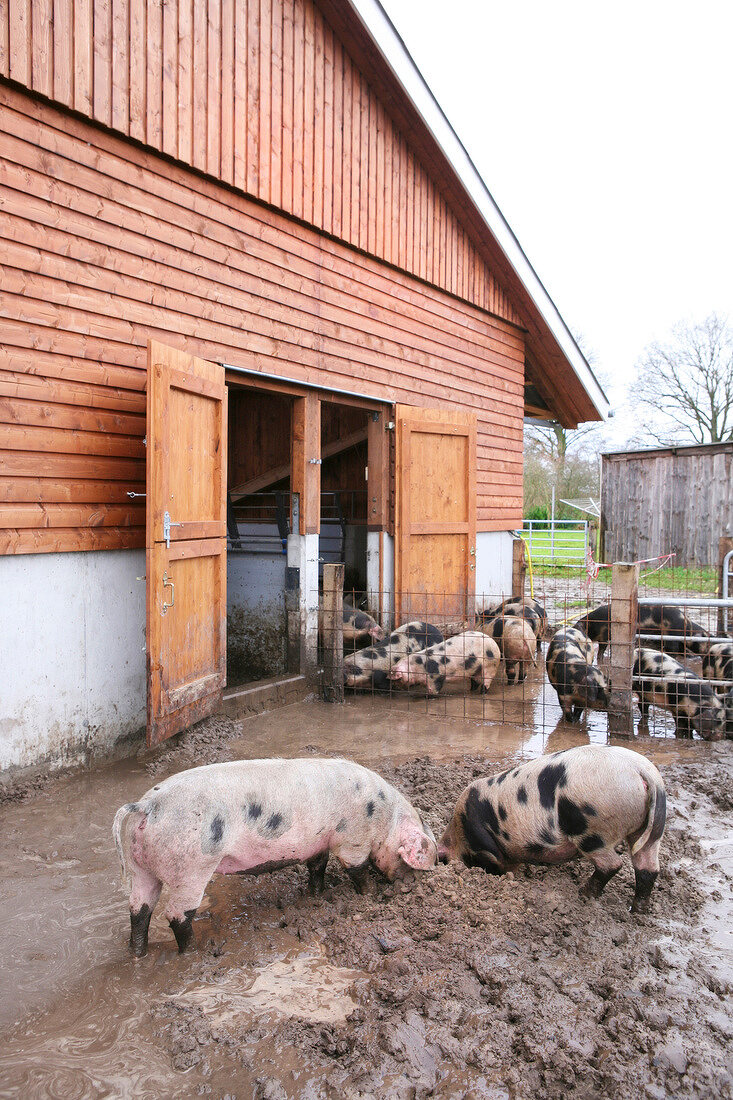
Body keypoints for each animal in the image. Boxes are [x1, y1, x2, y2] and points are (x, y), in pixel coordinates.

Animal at [111, 761, 435, 959]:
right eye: (409, 863)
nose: (409, 888)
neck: (386, 818)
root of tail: (146, 805)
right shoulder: (352, 839)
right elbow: (356, 869)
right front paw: (367, 897)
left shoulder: (318, 844)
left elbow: (317, 867)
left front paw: (316, 895)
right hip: (191, 866)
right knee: (176, 915)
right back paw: (194, 951)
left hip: (142, 868)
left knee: (139, 909)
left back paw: (138, 953)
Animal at [435, 743, 664, 915]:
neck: (459, 830)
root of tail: (641, 772)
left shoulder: (484, 846)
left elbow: (494, 863)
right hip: (653, 828)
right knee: (648, 868)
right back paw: (637, 912)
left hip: (591, 826)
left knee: (612, 864)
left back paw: (583, 895)